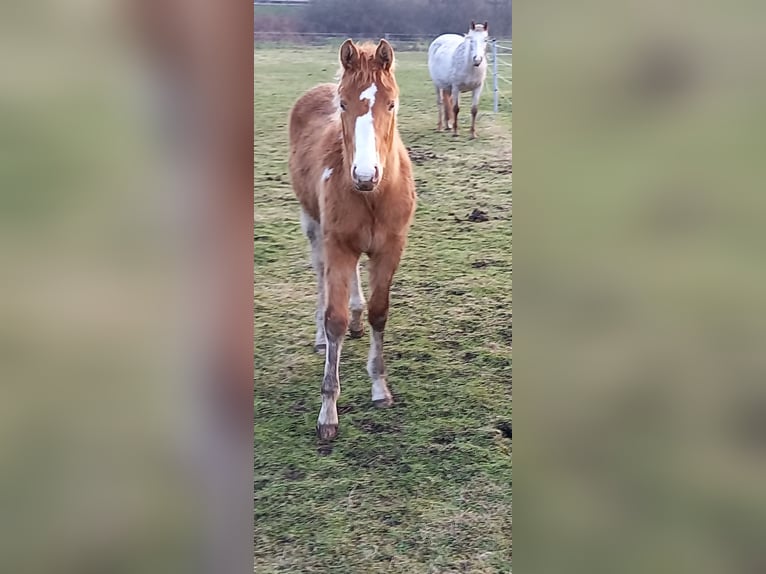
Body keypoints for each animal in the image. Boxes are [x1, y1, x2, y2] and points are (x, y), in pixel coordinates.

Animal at [288, 39, 417, 441]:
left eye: (391, 103)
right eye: (343, 104)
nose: (364, 174)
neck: (372, 196)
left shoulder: (390, 248)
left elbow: (379, 312)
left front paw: (380, 389)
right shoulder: (337, 245)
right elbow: (335, 320)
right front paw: (327, 413)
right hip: (314, 226)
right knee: (320, 278)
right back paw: (319, 337)